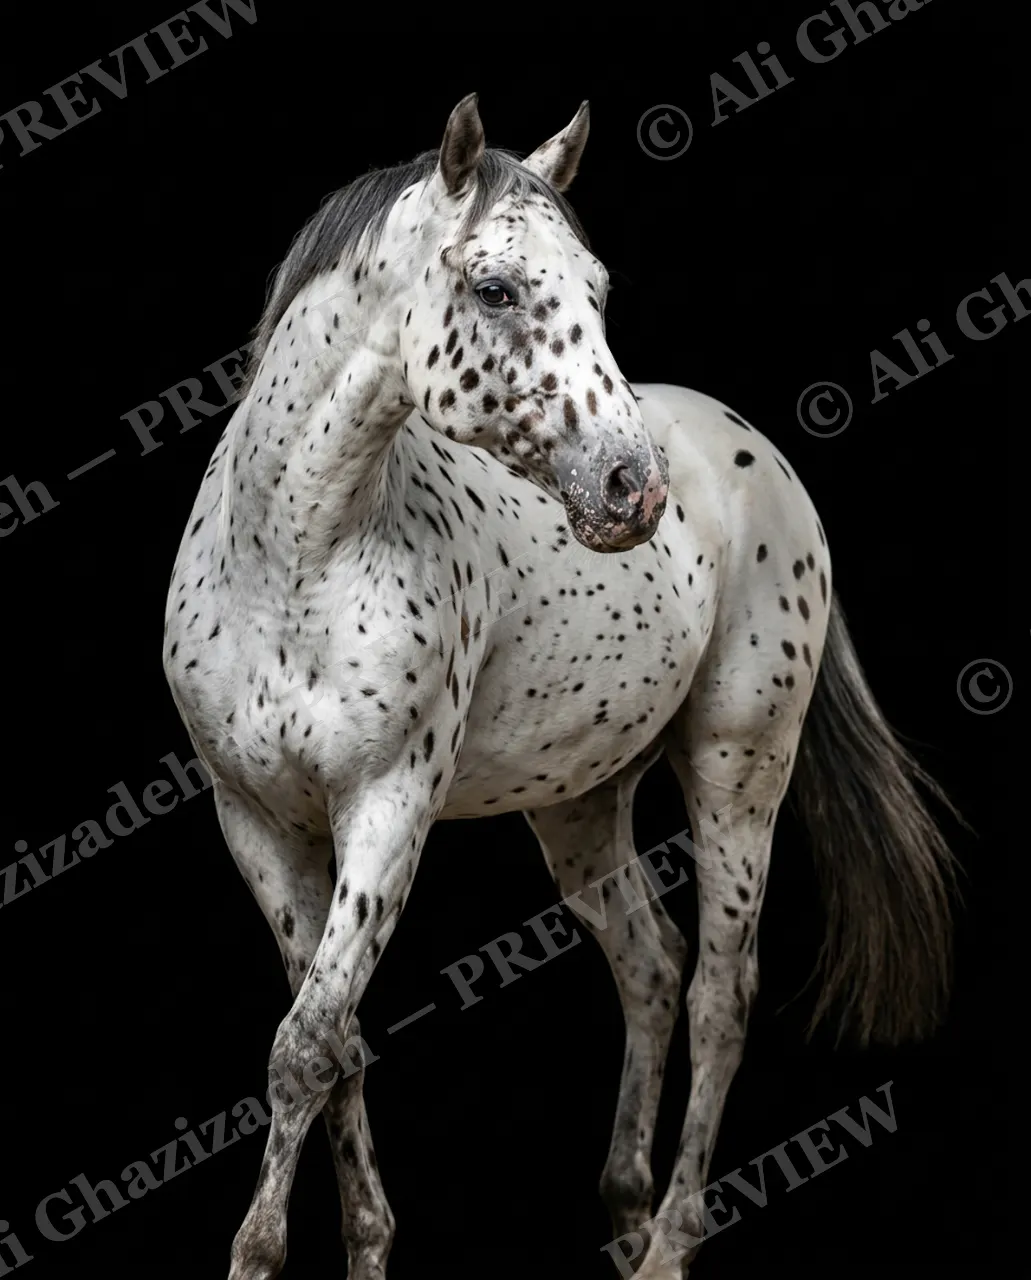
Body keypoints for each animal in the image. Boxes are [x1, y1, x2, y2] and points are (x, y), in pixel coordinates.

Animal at [163, 94, 958, 1279]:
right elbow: (332, 1040)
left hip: (738, 767)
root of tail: (753, 450)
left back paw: (669, 1241)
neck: (294, 558)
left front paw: (258, 1254)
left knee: (719, 991)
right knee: (649, 963)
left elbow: (306, 1046)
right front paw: (361, 1250)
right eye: (494, 289)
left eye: (597, 288)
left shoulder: (387, 811)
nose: (631, 491)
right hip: (582, 803)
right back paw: (625, 1210)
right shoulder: (257, 821)